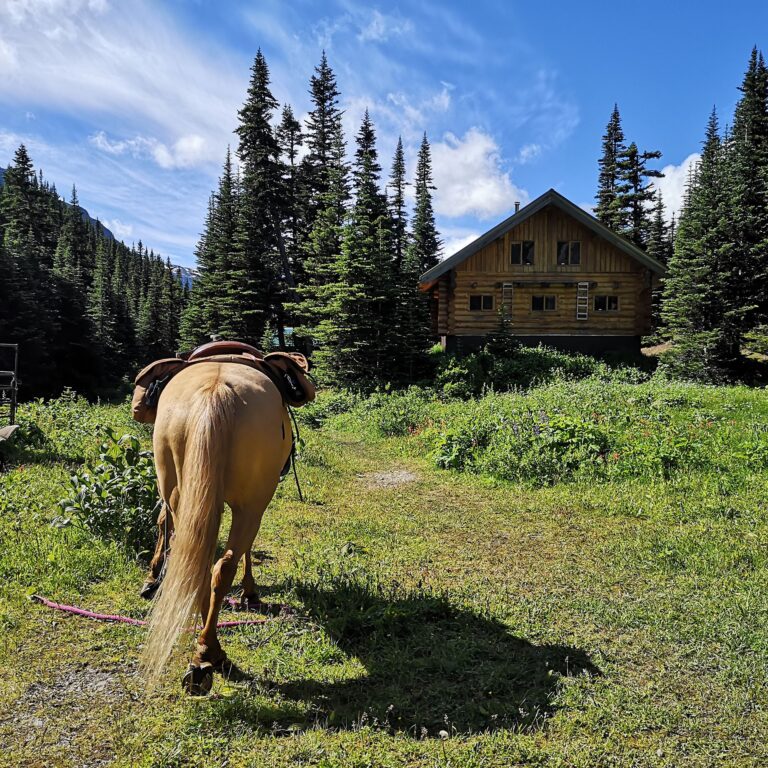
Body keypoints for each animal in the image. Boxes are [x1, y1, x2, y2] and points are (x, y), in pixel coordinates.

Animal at [140, 360, 293, 694]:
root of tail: (216, 391)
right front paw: (250, 592)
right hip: (251, 504)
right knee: (222, 565)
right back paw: (210, 653)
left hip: (183, 492)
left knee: (197, 563)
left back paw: (203, 653)